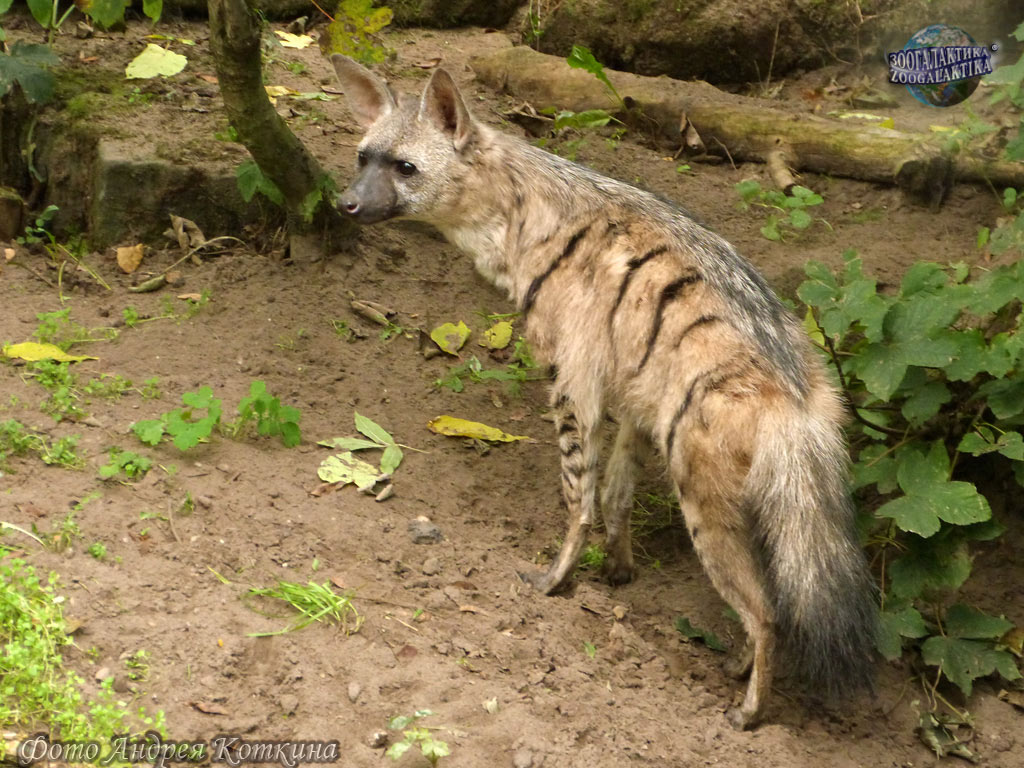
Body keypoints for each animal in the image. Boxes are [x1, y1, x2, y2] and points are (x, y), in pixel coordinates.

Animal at [329, 54, 878, 729]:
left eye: (406, 167)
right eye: (362, 157)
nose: (346, 204)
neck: (519, 224)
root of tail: (798, 399)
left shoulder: (571, 379)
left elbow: (578, 498)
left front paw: (554, 582)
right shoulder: (637, 397)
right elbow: (616, 495)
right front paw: (618, 571)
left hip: (702, 497)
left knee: (766, 610)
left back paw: (747, 714)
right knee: (772, 596)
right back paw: (735, 667)